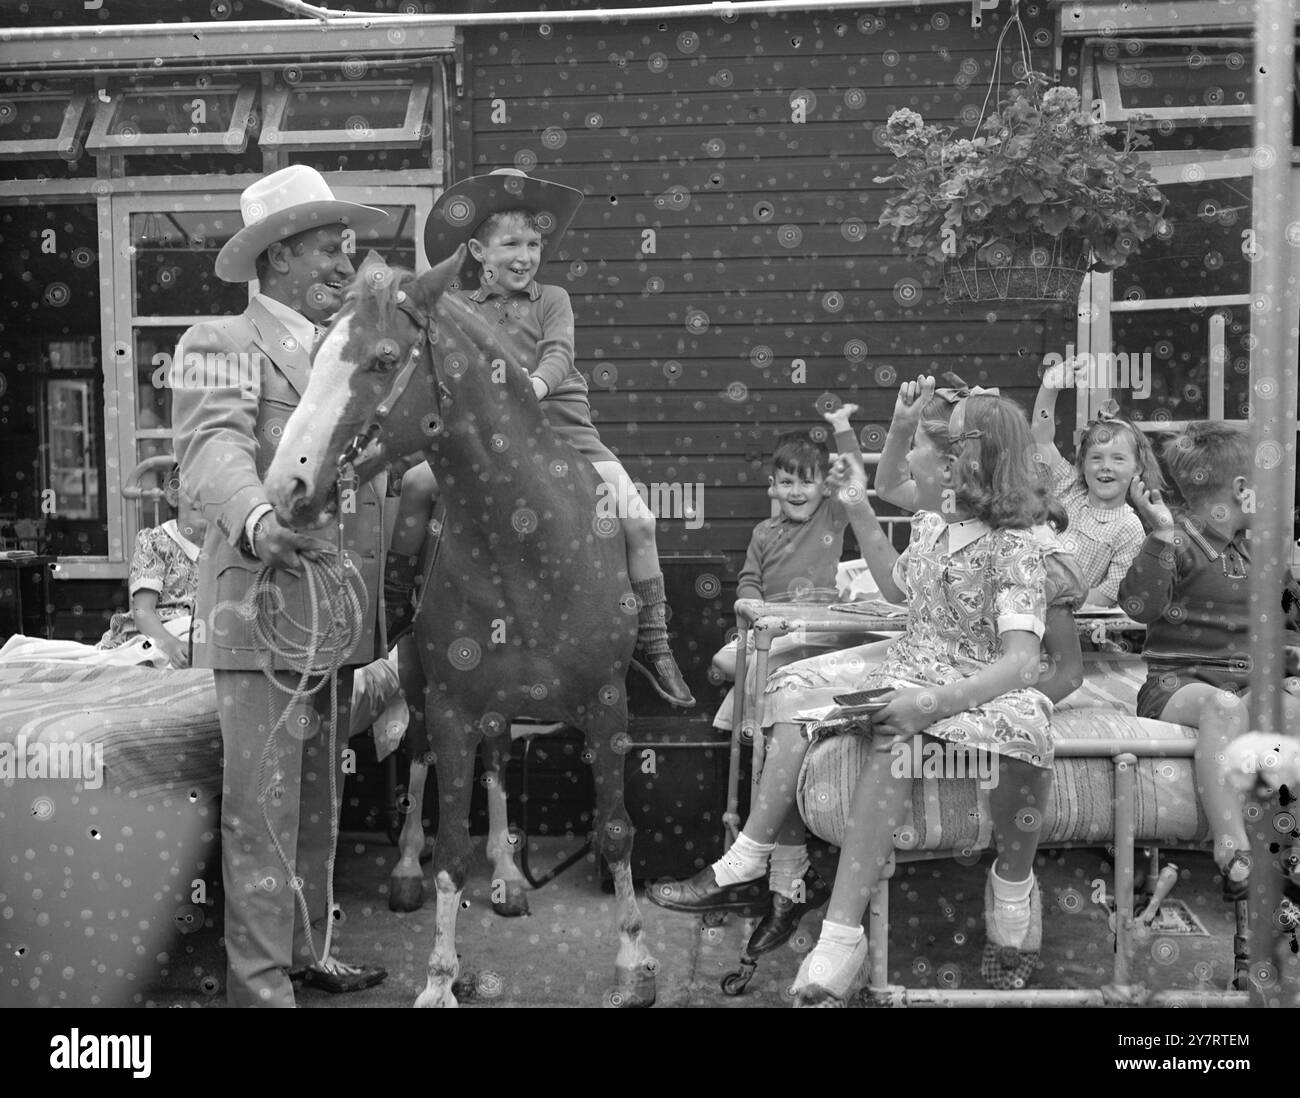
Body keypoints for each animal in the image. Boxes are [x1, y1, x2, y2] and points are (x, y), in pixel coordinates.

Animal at [263, 250, 655, 1013]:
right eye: (316, 354)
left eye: (385, 359)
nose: (287, 488)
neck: (529, 543)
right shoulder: (451, 707)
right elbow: (449, 850)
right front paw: (440, 976)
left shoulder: (608, 707)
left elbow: (618, 832)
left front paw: (631, 961)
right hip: (424, 688)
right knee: (418, 760)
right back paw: (409, 870)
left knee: (499, 762)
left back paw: (507, 873)